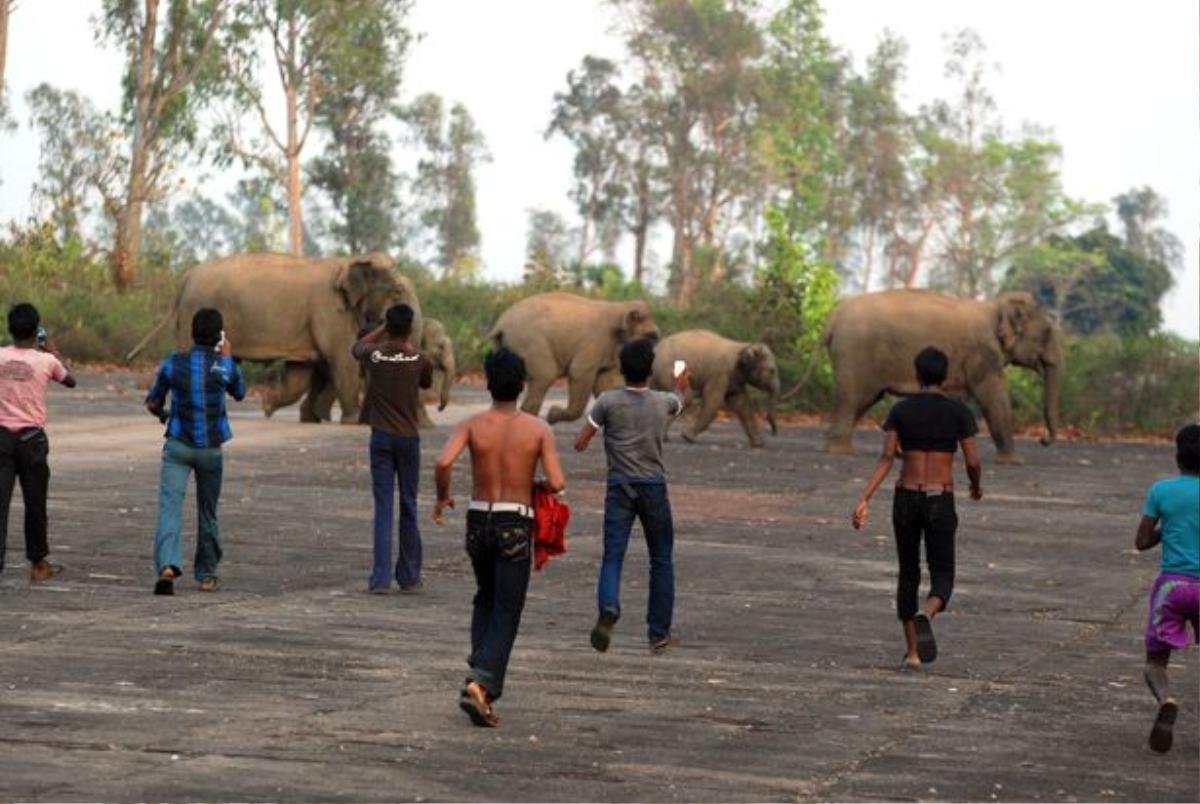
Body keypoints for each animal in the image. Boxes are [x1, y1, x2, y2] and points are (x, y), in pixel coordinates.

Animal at [128, 255, 420, 424]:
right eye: (398, 291)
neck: (348, 262)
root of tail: (185, 278)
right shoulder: (329, 310)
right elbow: (342, 358)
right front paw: (352, 421)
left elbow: (301, 374)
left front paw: (270, 406)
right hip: (194, 313)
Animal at [484, 292, 657, 424]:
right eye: (652, 337)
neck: (619, 307)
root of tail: (501, 324)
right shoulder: (593, 343)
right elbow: (578, 372)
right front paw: (552, 416)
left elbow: (602, 386)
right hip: (530, 342)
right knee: (545, 376)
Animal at [652, 331, 782, 451]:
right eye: (772, 371)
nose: (774, 432)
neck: (743, 345)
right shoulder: (720, 373)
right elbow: (713, 402)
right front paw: (687, 437)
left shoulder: (734, 379)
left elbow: (742, 405)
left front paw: (758, 444)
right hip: (670, 371)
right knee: (686, 398)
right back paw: (663, 437)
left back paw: (663, 437)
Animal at [825, 291, 1060, 465]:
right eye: (1048, 332)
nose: (1043, 439)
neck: (996, 306)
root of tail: (833, 317)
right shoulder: (983, 354)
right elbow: (993, 396)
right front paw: (1015, 461)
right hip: (854, 353)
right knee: (854, 398)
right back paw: (841, 452)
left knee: (863, 401)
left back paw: (840, 449)